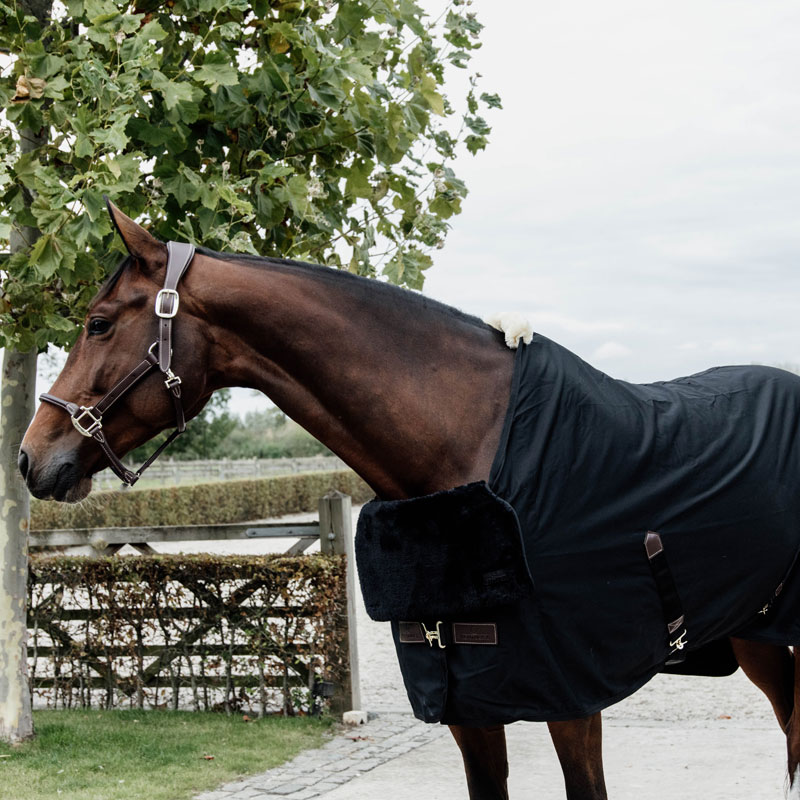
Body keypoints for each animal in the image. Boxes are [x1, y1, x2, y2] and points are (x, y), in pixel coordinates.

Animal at [18, 201, 800, 799]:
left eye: (98, 322)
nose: (32, 457)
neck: (469, 445)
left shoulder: (572, 698)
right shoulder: (468, 704)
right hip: (758, 638)